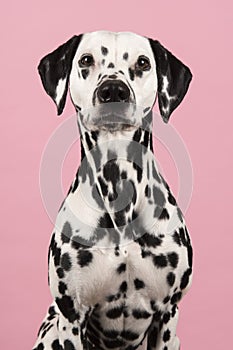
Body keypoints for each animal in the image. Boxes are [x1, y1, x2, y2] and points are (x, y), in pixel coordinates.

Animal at [32, 30, 193, 350]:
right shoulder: (71, 317)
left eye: (143, 62)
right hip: (50, 330)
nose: (113, 91)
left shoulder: (168, 315)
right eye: (86, 60)